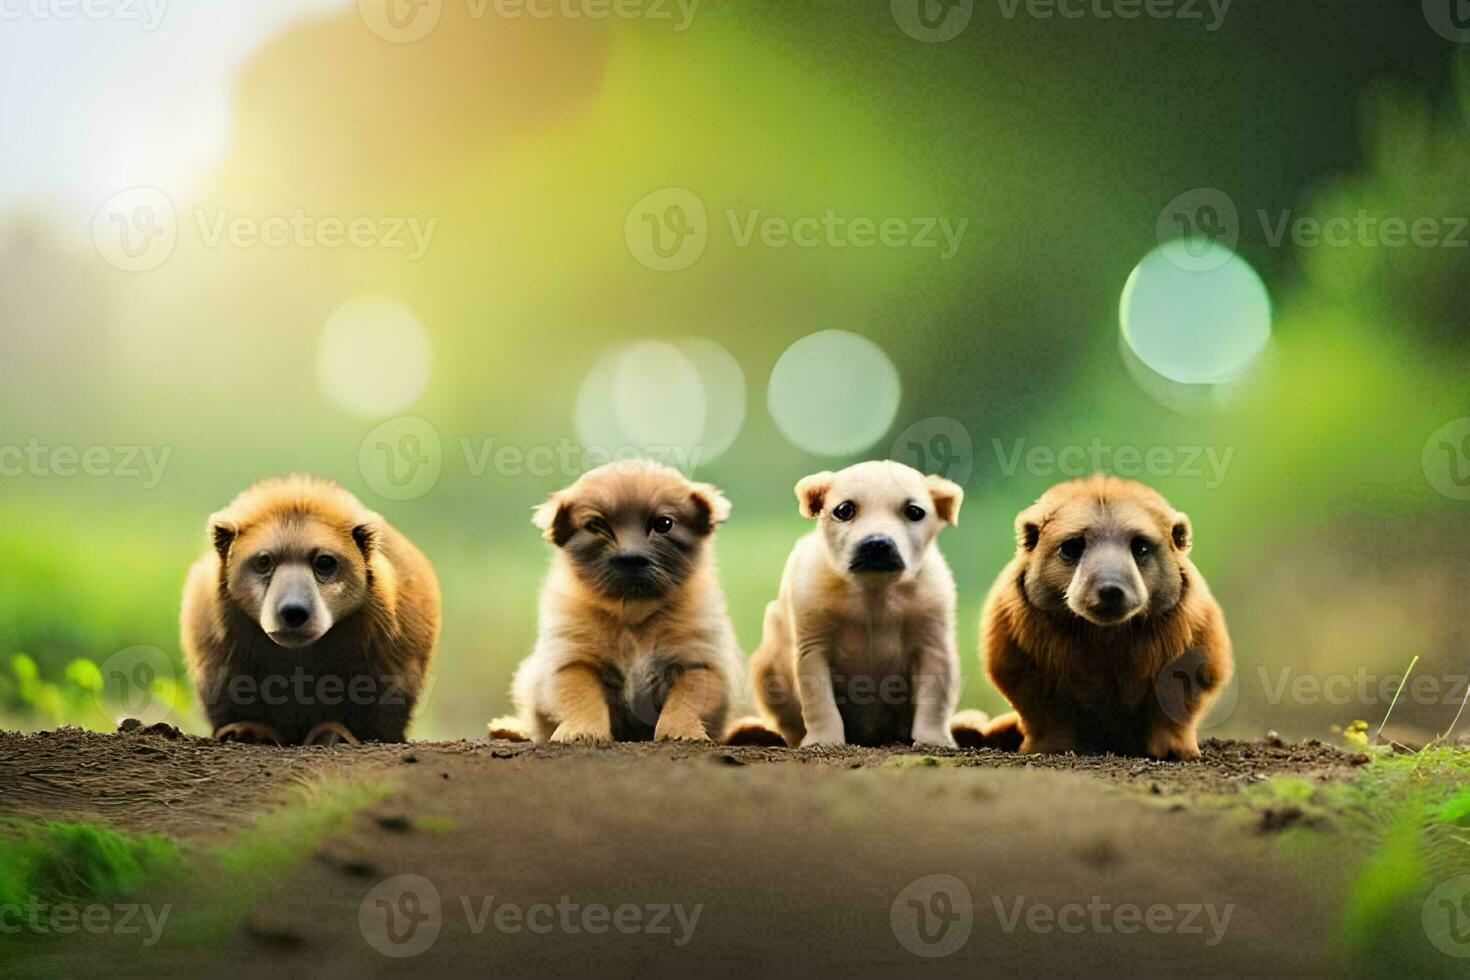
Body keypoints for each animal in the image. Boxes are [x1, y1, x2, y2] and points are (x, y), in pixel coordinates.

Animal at [514, 461, 746, 743]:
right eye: (596, 525)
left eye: (663, 524)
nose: (631, 559)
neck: (633, 614)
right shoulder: (570, 661)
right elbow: (580, 694)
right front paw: (581, 730)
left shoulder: (701, 663)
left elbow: (686, 699)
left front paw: (680, 731)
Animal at [746, 458, 964, 743]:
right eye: (844, 510)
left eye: (914, 511)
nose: (877, 544)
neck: (874, 590)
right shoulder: (812, 645)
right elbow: (819, 701)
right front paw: (824, 739)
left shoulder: (934, 645)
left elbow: (935, 701)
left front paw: (933, 739)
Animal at [970, 473, 1234, 758]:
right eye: (1071, 547)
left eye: (1141, 547)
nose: (1110, 589)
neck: (1104, 637)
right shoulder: (1021, 647)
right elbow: (1042, 704)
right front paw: (1048, 746)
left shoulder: (1189, 640)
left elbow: (1177, 694)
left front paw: (1174, 750)